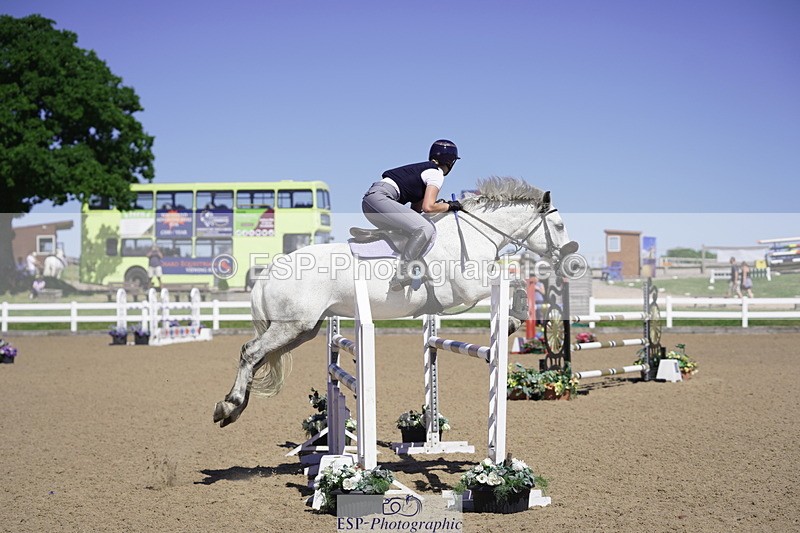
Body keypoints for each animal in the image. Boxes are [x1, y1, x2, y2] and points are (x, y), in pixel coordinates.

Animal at [213, 177, 577, 427]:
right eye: (559, 225)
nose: (569, 259)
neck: (474, 234)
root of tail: (268, 272)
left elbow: (514, 280)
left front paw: (515, 319)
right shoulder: (470, 288)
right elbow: (513, 280)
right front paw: (515, 319)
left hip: (304, 330)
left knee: (259, 356)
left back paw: (235, 406)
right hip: (291, 326)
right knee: (251, 352)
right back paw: (229, 405)